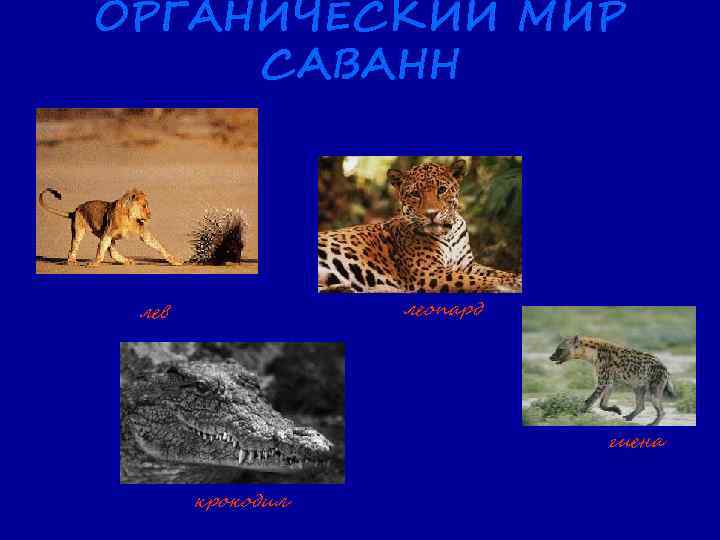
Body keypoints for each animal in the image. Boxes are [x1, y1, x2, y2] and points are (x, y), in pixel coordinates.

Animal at [39, 188, 183, 267]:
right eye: (144, 205)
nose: (150, 214)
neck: (129, 217)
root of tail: (76, 210)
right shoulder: (107, 233)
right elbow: (100, 251)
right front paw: (94, 263)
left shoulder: (143, 233)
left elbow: (159, 247)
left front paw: (175, 261)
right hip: (79, 230)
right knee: (73, 248)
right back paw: (72, 261)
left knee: (113, 252)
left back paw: (127, 261)